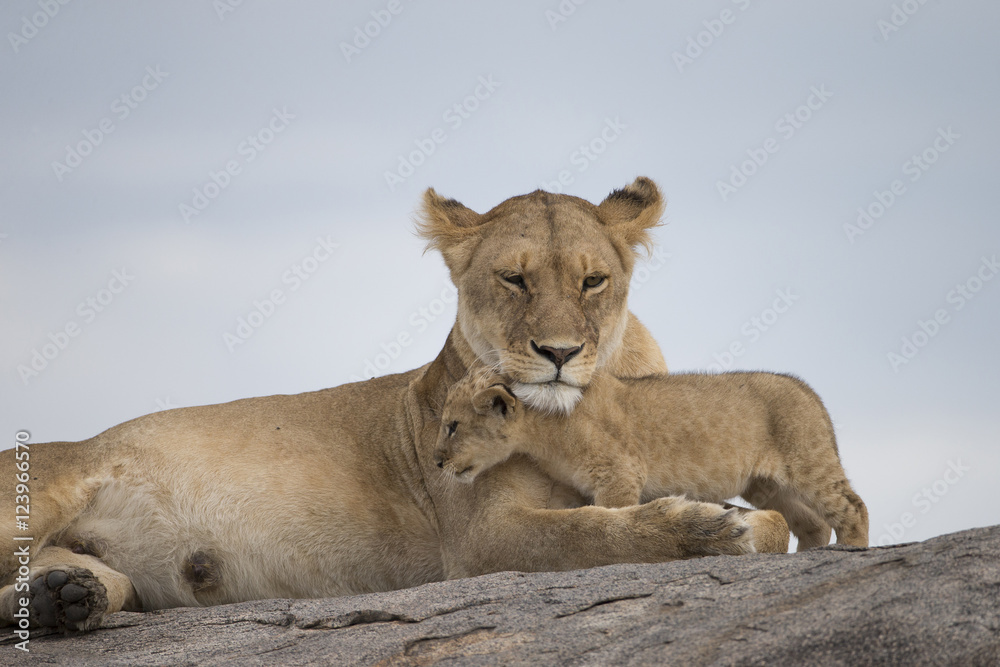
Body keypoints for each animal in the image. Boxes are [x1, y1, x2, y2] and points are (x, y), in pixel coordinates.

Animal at [0, 177, 788, 634]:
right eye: (513, 279)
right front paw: (713, 528)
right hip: (43, 489)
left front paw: (748, 521)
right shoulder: (480, 540)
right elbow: (596, 536)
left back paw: (64, 598)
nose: (559, 352)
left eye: (593, 281)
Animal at [434, 366, 868, 550]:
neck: (543, 430)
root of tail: (808, 390)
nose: (437, 461)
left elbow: (613, 516)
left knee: (852, 505)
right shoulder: (575, 486)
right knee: (812, 521)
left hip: (808, 463)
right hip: (769, 485)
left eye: (452, 426)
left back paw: (852, 549)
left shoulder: (619, 472)